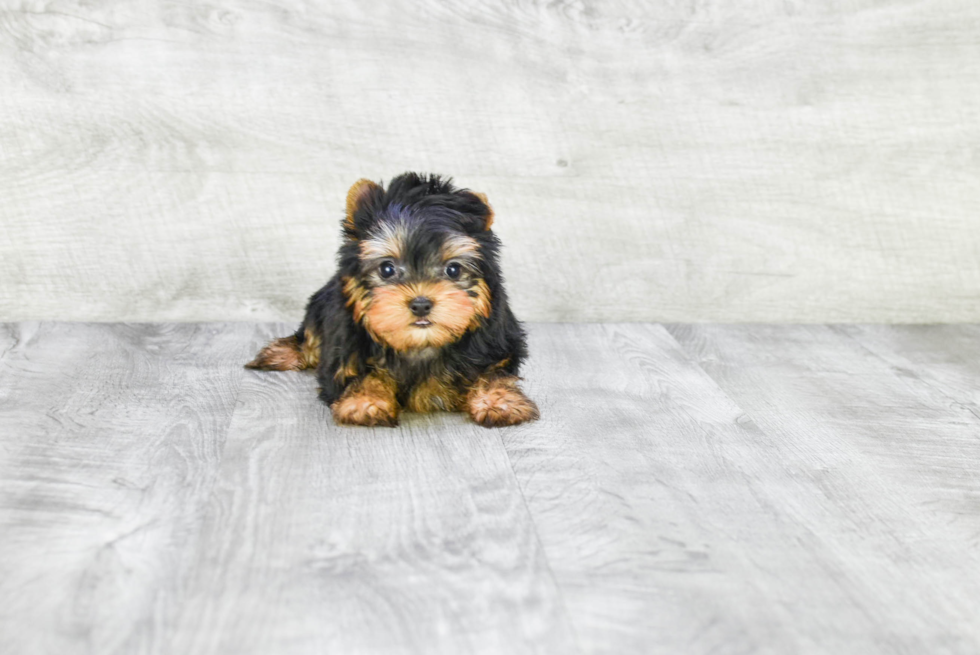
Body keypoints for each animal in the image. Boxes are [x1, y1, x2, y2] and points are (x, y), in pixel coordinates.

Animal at [243, 172, 536, 428]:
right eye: (387, 269)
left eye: (453, 270)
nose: (421, 304)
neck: (420, 345)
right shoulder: (344, 348)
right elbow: (362, 375)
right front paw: (366, 403)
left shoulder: (497, 343)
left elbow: (494, 373)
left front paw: (500, 402)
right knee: (309, 337)